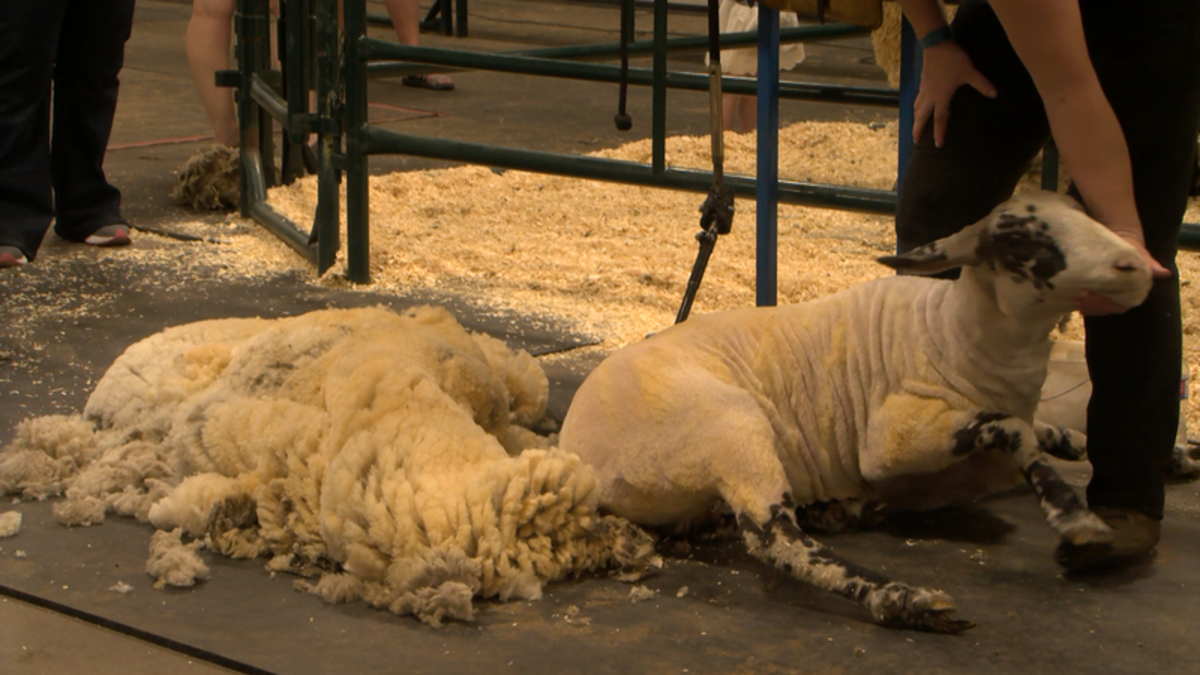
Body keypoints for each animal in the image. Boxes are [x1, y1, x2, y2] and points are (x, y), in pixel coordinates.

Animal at [559, 190, 1152, 629]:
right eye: (1016, 238)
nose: (1137, 266)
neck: (955, 333)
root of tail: (579, 458)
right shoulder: (891, 440)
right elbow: (1012, 431)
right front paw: (1076, 519)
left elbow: (1047, 431)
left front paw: (1131, 448)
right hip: (728, 428)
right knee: (777, 541)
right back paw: (907, 600)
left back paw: (846, 512)